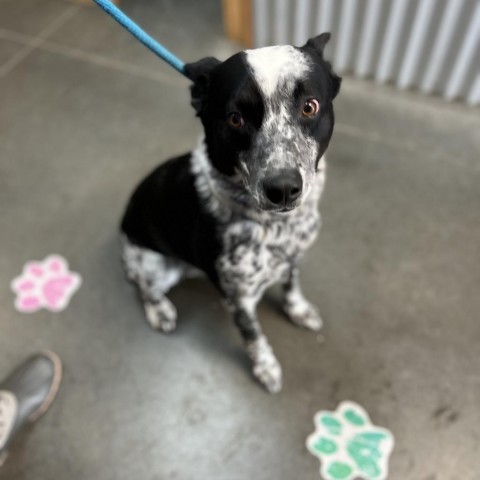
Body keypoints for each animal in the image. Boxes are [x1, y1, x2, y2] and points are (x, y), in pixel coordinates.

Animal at [122, 33, 344, 394]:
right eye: (235, 118)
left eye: (309, 106)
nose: (283, 188)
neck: (276, 228)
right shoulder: (239, 300)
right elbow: (254, 338)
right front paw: (266, 368)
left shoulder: (294, 257)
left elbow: (292, 286)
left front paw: (297, 310)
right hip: (158, 266)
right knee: (144, 287)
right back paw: (160, 311)